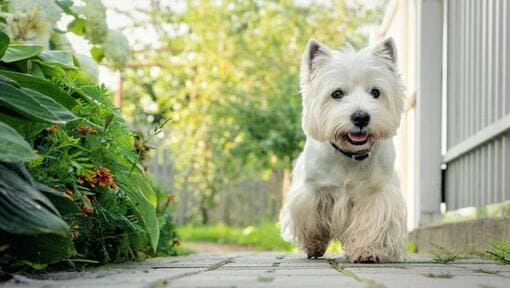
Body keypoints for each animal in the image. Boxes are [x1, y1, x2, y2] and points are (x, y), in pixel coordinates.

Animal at [278, 37, 406, 264]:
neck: (349, 155)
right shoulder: (313, 192)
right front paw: (314, 244)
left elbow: (372, 222)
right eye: (337, 93)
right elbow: (312, 221)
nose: (361, 117)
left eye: (375, 92)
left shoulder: (375, 192)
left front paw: (368, 251)